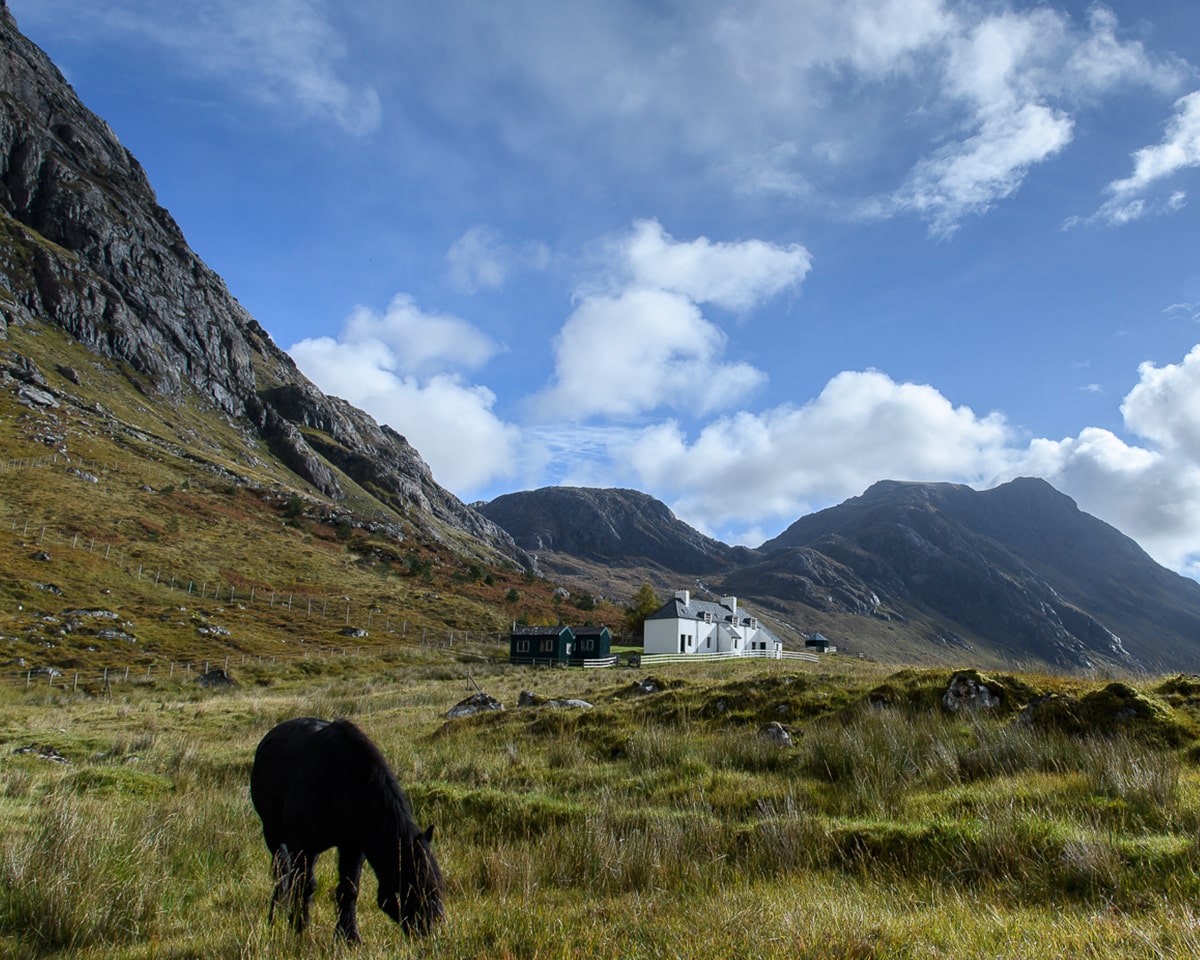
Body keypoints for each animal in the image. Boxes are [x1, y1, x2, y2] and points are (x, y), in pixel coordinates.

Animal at [249, 715, 446, 940]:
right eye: (412, 885)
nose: (434, 927)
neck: (337, 781)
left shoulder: (353, 846)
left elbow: (349, 889)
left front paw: (349, 936)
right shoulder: (304, 847)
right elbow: (305, 886)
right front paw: (300, 928)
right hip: (274, 835)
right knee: (282, 875)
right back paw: (275, 916)